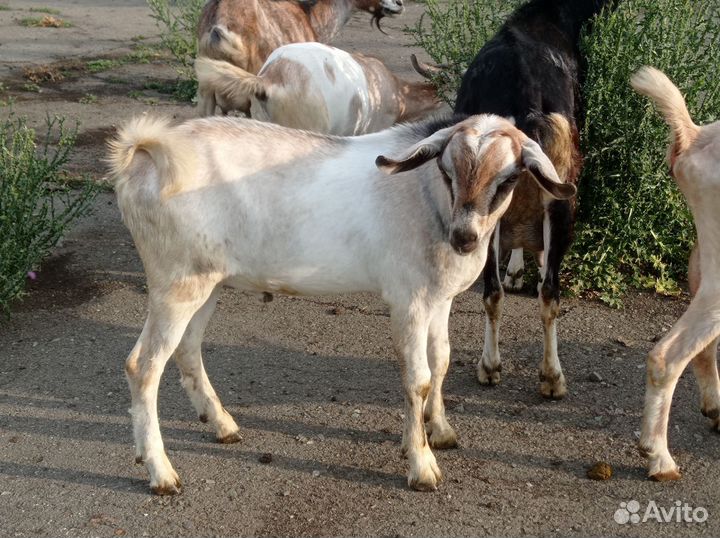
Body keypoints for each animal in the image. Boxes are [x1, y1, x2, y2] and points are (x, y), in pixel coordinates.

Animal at [107, 113, 576, 494]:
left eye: (509, 179)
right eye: (446, 170)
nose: (465, 238)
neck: (428, 202)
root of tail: (147, 152)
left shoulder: (438, 299)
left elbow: (441, 360)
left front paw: (441, 430)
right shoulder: (408, 301)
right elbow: (418, 378)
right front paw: (422, 465)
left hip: (207, 282)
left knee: (187, 350)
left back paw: (222, 425)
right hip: (175, 283)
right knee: (143, 366)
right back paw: (161, 472)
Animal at [452, 0, 617, 398]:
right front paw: (523, 269)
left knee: (496, 292)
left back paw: (493, 368)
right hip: (562, 188)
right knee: (548, 292)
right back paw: (550, 377)